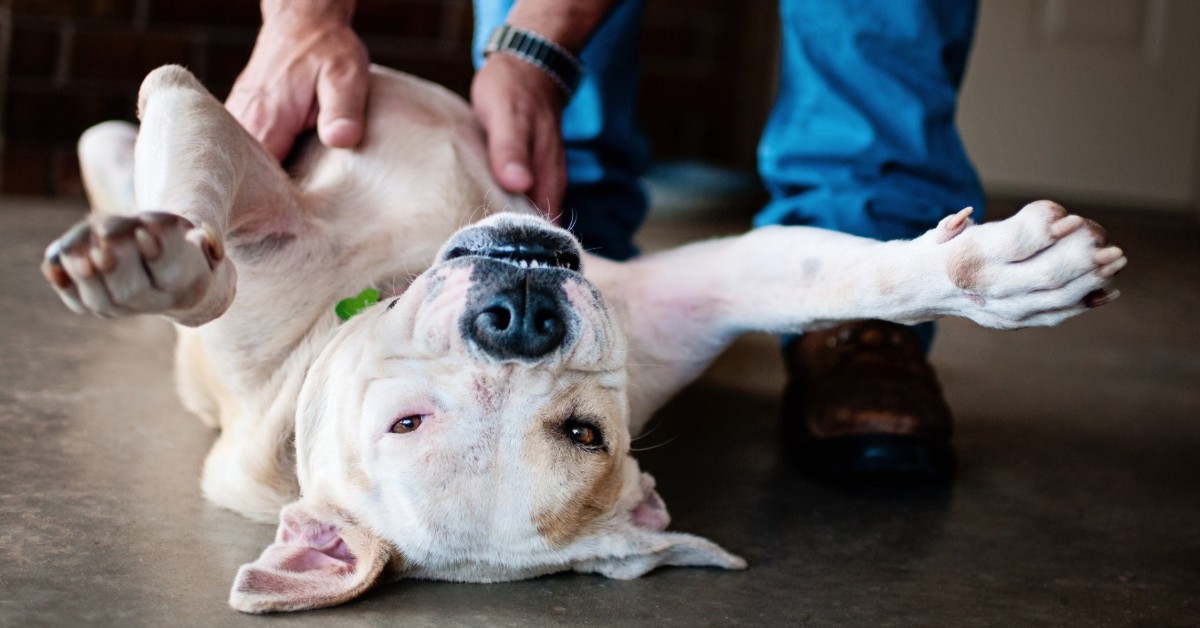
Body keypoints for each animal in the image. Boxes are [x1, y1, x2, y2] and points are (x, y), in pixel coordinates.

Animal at [37, 65, 1123, 614]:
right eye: (405, 423)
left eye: (583, 433)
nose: (520, 319)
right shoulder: (200, 120)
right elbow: (205, 229)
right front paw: (152, 262)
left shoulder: (685, 301)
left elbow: (836, 275)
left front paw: (995, 273)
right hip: (112, 139)